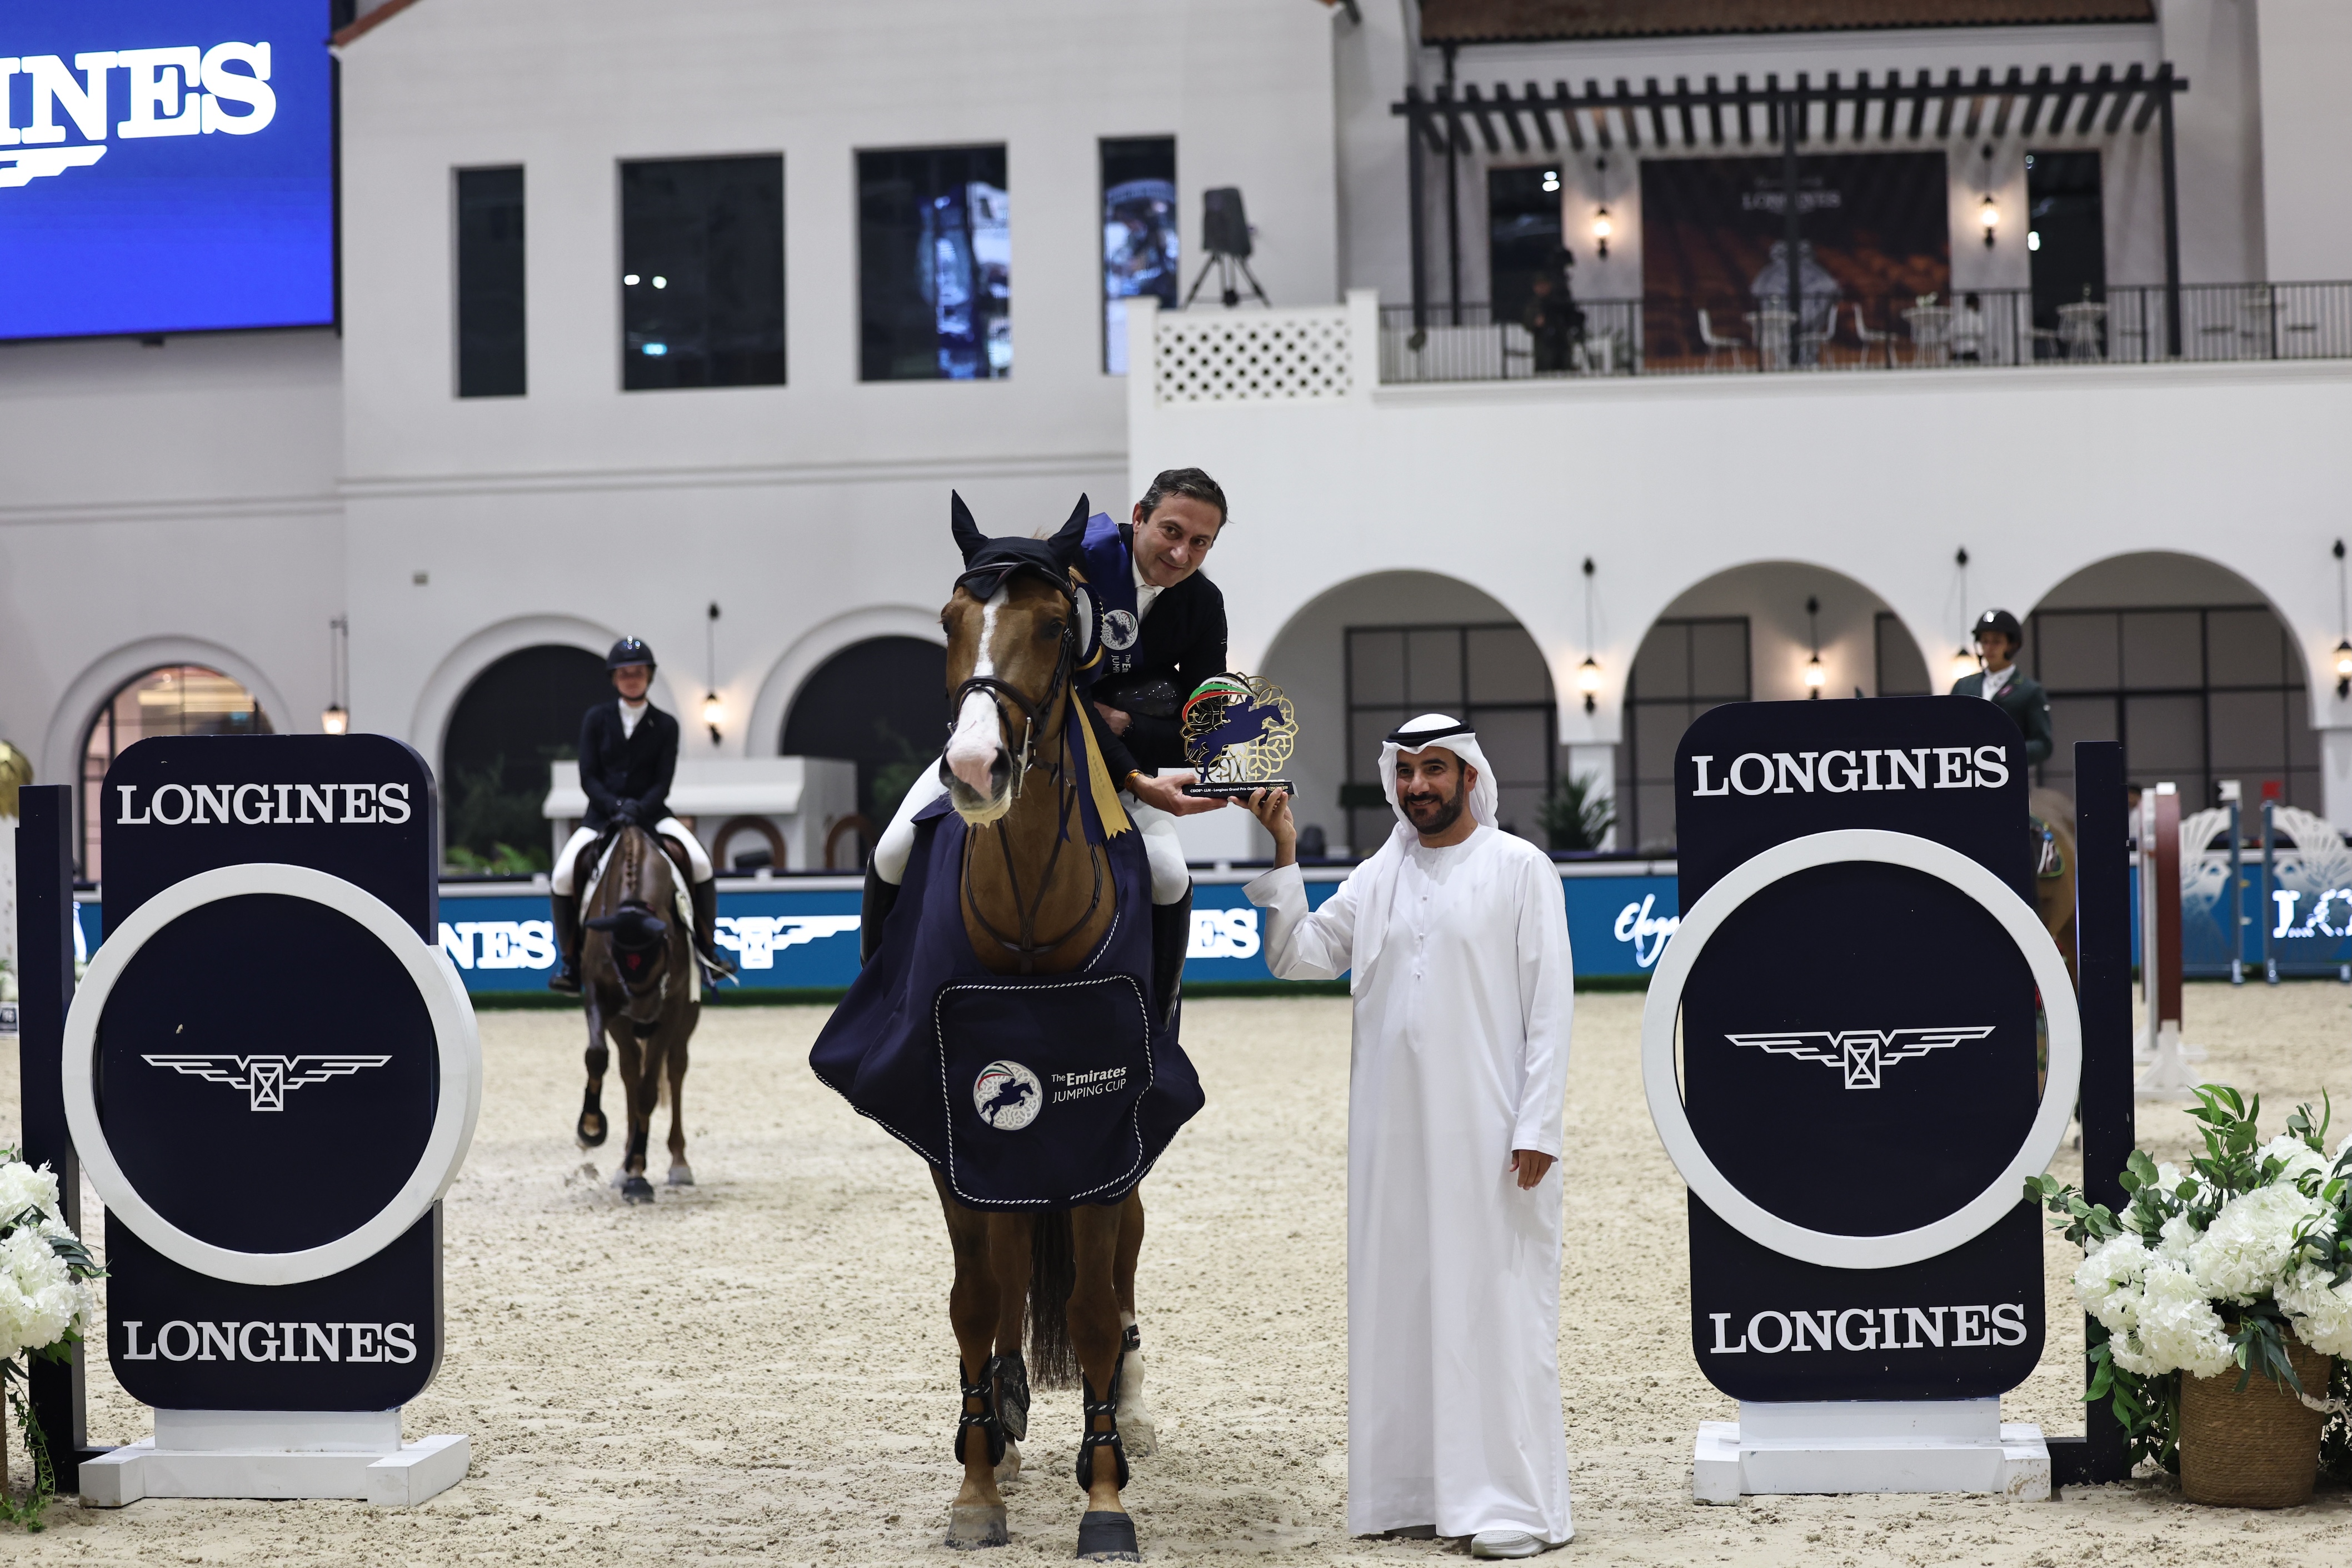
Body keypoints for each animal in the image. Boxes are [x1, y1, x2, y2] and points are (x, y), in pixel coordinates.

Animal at [571, 822, 701, 1204]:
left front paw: (639, 1176)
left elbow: (648, 1093)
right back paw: (624, 1163)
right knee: (629, 1070)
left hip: (685, 1019)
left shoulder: (670, 1008)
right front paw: (591, 1127)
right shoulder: (603, 1000)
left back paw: (675, 1163)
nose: (643, 1017)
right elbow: (597, 1056)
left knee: (675, 1070)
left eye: (662, 953)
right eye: (618, 958)